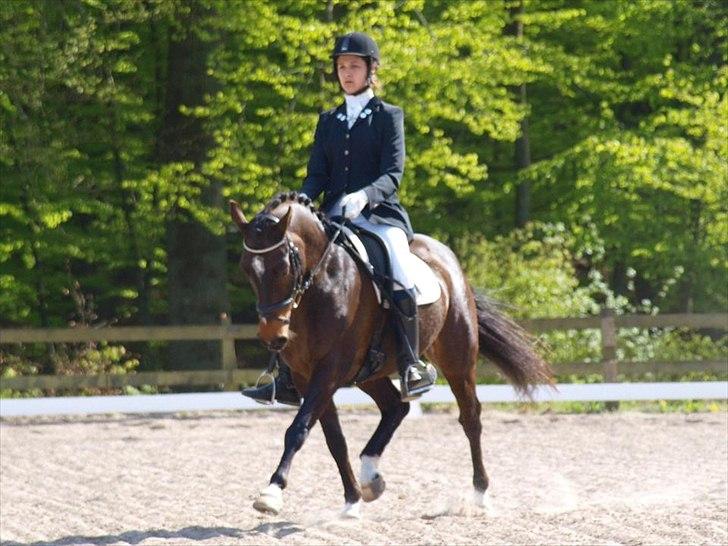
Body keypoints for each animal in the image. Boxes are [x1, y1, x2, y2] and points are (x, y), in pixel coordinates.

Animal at [230, 192, 552, 517]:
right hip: (369, 372)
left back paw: (480, 494)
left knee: (470, 417)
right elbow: (333, 438)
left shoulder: (330, 369)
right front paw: (351, 501)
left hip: (457, 359)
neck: (321, 285)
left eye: (283, 267)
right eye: (246, 268)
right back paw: (370, 478)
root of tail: (447, 258)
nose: (272, 336)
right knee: (396, 407)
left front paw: (271, 492)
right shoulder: (305, 375)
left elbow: (298, 429)